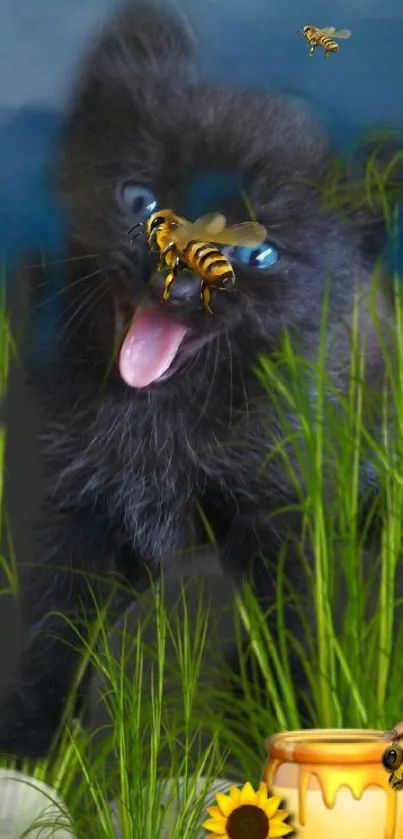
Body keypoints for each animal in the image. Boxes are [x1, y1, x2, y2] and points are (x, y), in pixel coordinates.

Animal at [0, 1, 392, 760]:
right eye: (140, 198)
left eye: (258, 253)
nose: (176, 284)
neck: (154, 418)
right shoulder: (68, 504)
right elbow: (53, 625)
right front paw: (30, 742)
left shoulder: (287, 506)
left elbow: (291, 628)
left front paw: (284, 725)